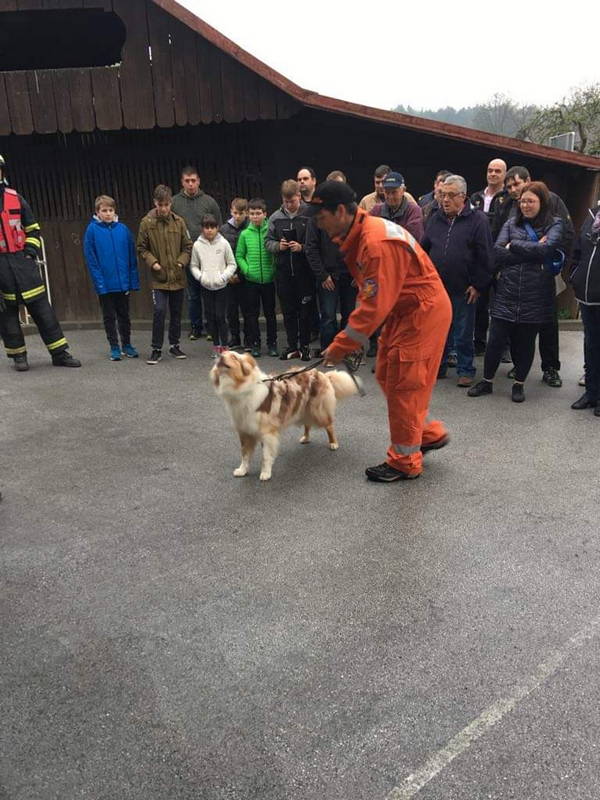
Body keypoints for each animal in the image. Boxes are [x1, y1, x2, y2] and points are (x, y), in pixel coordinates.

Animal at [210, 350, 359, 480]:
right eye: (223, 352)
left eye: (234, 357)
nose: (220, 355)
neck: (241, 388)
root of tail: (320, 373)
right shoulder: (244, 431)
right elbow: (245, 454)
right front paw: (242, 470)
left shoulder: (267, 432)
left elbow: (266, 456)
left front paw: (266, 473)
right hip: (303, 408)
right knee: (307, 424)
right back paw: (305, 438)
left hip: (318, 411)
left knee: (329, 425)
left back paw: (333, 443)